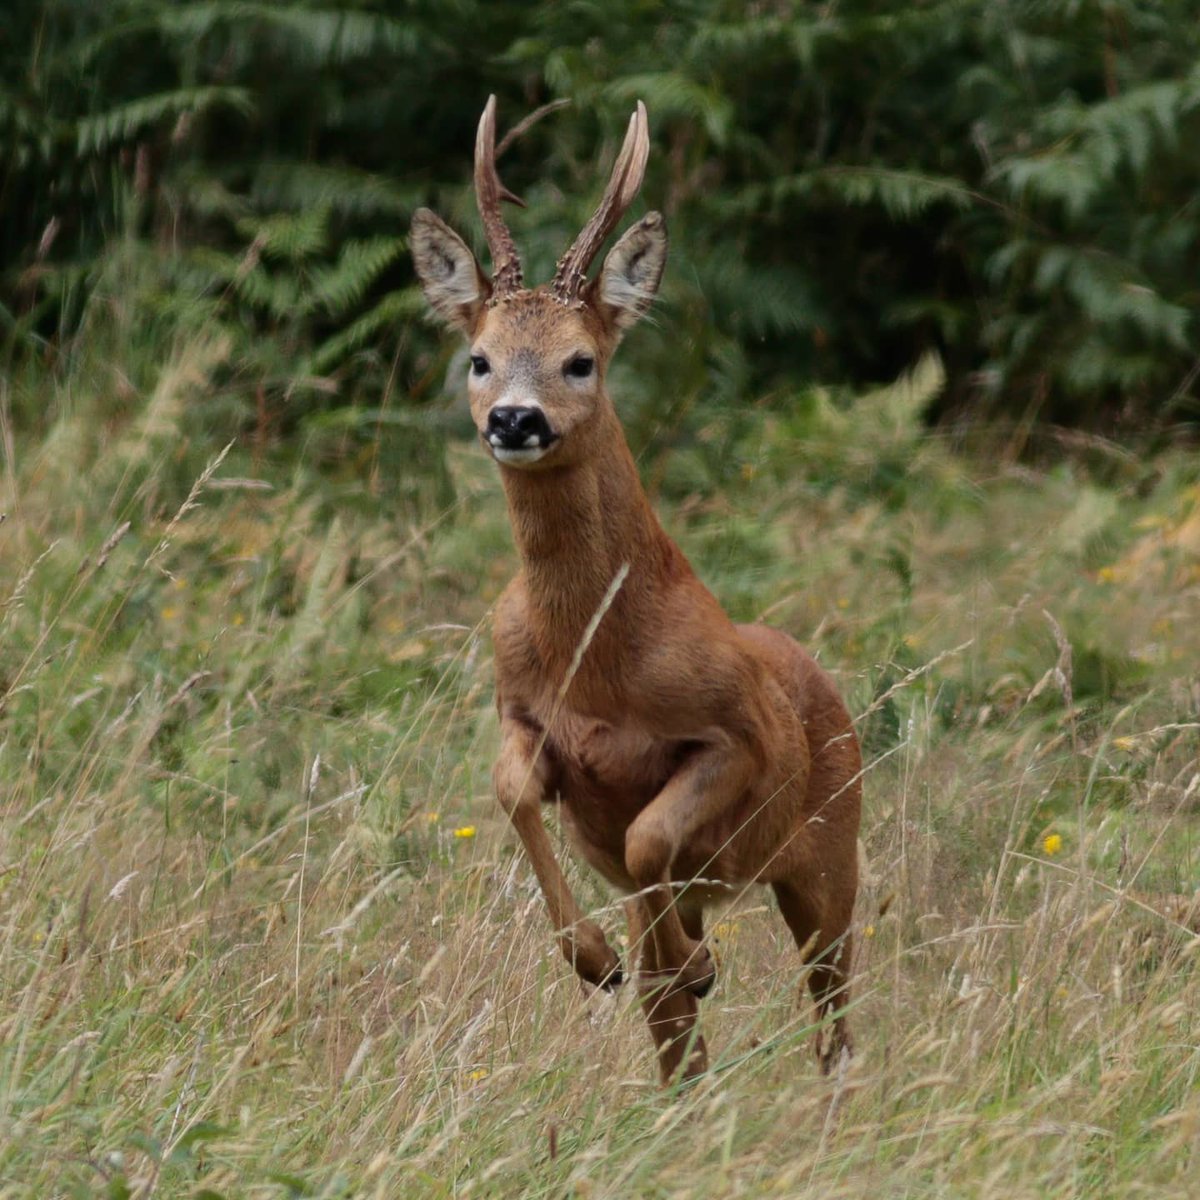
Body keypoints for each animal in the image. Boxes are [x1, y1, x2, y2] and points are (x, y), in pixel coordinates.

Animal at [410, 96, 862, 1084]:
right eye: (479, 358)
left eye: (581, 361)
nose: (515, 420)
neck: (594, 661)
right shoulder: (520, 710)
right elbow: (511, 792)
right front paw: (593, 960)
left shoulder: (734, 732)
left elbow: (650, 834)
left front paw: (684, 962)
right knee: (679, 1034)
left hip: (832, 848)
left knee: (837, 1011)